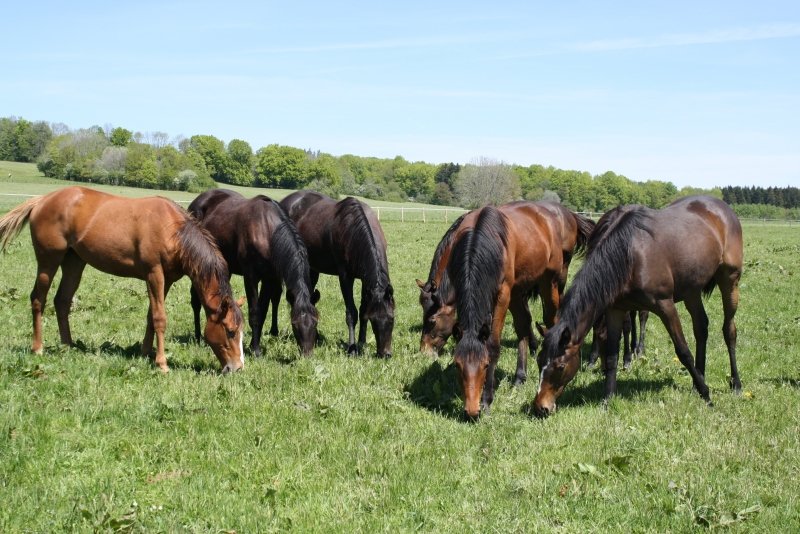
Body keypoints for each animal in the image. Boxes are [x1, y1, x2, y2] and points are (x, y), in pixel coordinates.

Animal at [0, 186, 245, 373]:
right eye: (230, 331)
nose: (237, 368)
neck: (173, 232)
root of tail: (42, 200)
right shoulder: (154, 274)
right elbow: (160, 318)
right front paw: (162, 364)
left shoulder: (166, 280)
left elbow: (150, 316)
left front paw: (146, 353)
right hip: (48, 261)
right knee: (38, 299)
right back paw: (38, 348)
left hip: (74, 263)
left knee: (62, 301)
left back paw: (68, 345)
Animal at [188, 189, 319, 357]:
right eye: (294, 324)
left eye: (315, 322)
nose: (307, 355)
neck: (267, 231)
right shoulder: (251, 277)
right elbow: (255, 312)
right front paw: (256, 350)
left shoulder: (269, 278)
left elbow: (263, 310)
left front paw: (254, 345)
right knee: (195, 300)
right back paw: (198, 337)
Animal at [279, 191, 394, 357]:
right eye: (374, 320)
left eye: (392, 318)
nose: (385, 354)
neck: (355, 230)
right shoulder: (345, 277)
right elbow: (352, 313)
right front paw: (352, 348)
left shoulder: (366, 280)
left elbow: (363, 309)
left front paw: (362, 342)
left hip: (312, 269)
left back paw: (316, 337)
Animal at [448, 202, 591, 418]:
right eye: (457, 365)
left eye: (485, 365)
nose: (472, 411)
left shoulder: (503, 294)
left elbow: (493, 345)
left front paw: (487, 400)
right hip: (518, 290)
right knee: (523, 325)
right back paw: (520, 377)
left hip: (550, 282)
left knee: (551, 318)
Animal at [534, 196, 743, 417]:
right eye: (538, 360)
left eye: (560, 366)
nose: (540, 407)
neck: (630, 255)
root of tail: (721, 208)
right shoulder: (615, 310)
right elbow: (611, 356)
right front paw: (607, 401)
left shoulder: (665, 306)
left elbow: (683, 351)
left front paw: (706, 394)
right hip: (691, 291)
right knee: (701, 328)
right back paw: (698, 379)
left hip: (730, 280)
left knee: (729, 330)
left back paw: (735, 384)